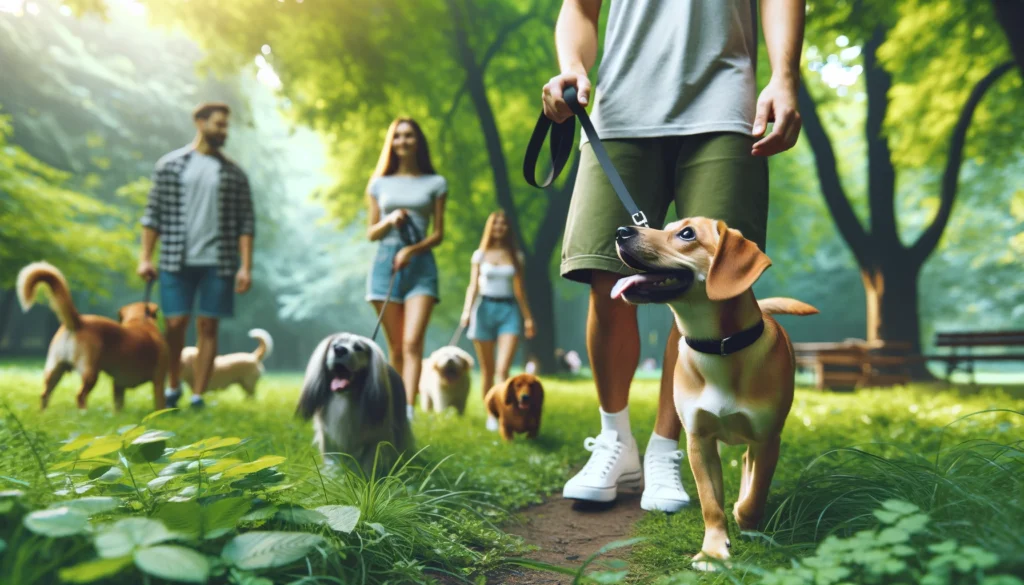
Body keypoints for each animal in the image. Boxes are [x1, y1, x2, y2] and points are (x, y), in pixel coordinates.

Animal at [17, 261, 167, 411]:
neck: (140, 320)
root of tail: (79, 321)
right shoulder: (159, 380)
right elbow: (160, 404)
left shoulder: (118, 384)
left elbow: (118, 406)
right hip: (90, 373)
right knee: (80, 396)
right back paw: (84, 412)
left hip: (54, 370)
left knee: (44, 394)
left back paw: (43, 413)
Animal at [610, 217, 819, 569]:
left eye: (686, 233)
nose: (621, 231)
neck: (720, 348)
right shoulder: (699, 441)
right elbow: (710, 503)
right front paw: (713, 551)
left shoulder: (767, 439)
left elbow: (754, 495)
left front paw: (745, 520)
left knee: (748, 466)